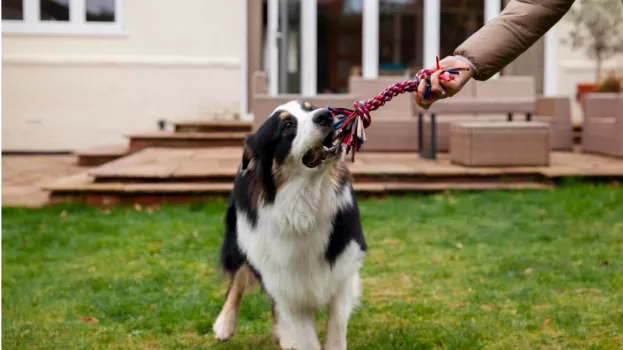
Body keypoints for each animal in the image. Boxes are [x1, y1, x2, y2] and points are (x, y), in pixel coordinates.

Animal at [212, 100, 368, 348]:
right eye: (286, 126)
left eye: (310, 108)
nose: (325, 115)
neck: (303, 203)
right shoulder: (284, 280)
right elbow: (306, 337)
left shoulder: (343, 271)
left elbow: (336, 327)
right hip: (240, 240)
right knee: (237, 279)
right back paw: (224, 324)